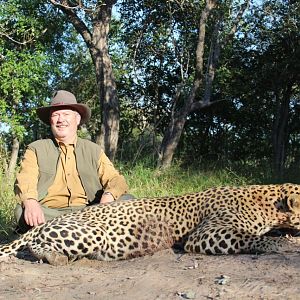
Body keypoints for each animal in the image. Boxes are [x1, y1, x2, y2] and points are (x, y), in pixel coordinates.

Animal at [0, 183, 300, 264]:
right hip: (92, 233)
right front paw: (274, 245)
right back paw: (57, 258)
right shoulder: (206, 233)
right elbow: (250, 237)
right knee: (35, 245)